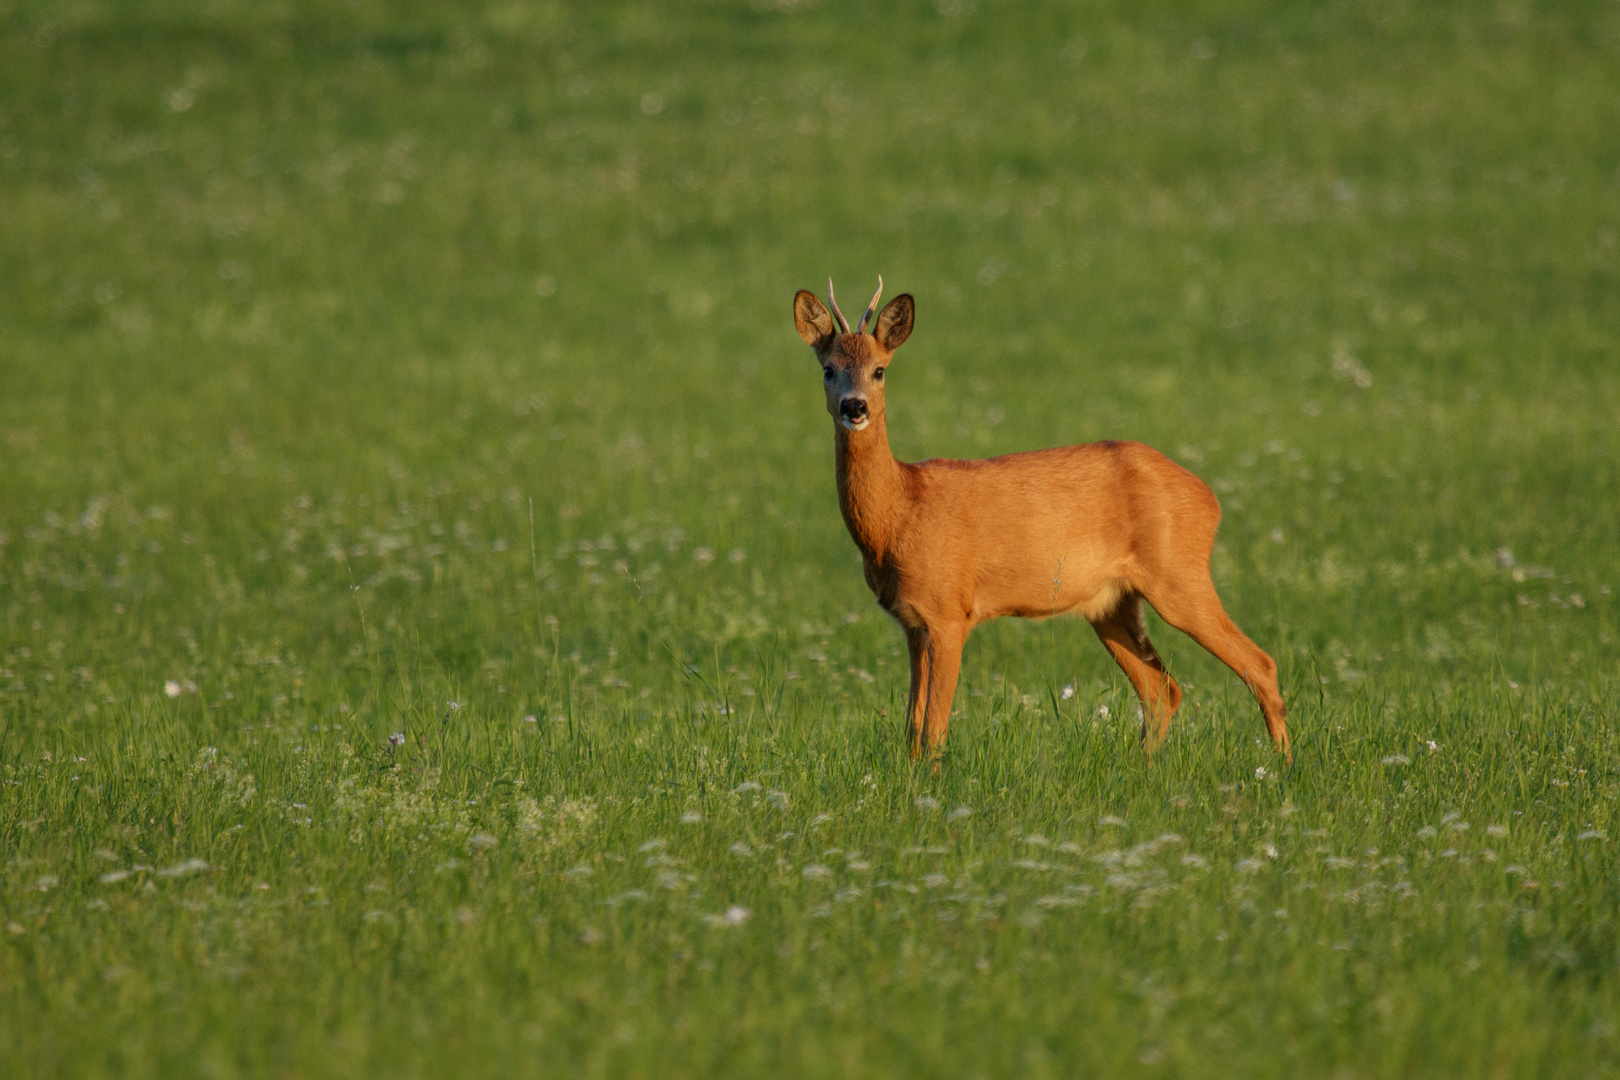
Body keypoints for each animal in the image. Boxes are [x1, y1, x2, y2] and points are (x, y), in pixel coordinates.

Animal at [787, 278, 1289, 767]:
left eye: (879, 370)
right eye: (828, 369)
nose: (854, 407)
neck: (898, 514)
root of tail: (1210, 498)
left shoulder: (950, 611)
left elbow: (933, 729)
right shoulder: (912, 621)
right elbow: (912, 727)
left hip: (1178, 575)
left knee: (1260, 665)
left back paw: (1282, 767)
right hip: (1111, 603)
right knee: (1162, 689)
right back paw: (1144, 768)